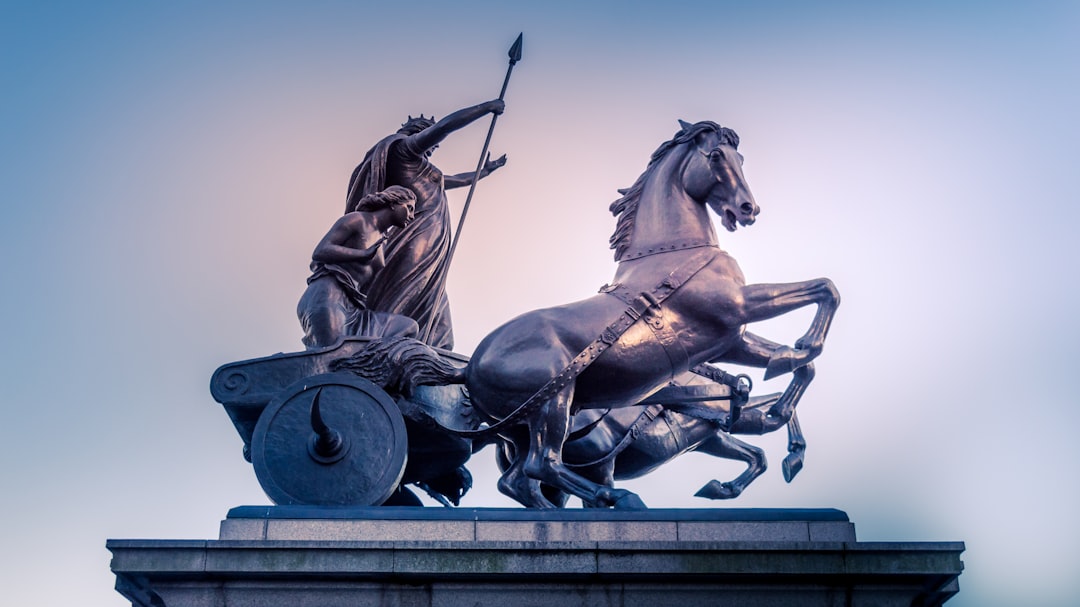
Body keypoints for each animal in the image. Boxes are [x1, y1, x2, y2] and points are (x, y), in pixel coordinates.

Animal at [462, 118, 833, 505]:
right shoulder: (741, 304)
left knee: (521, 479)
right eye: (716, 155)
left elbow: (802, 363)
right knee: (543, 465)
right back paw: (618, 497)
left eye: (741, 158)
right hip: (554, 404)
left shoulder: (731, 340)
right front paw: (800, 351)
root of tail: (468, 370)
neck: (675, 252)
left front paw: (781, 405)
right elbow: (825, 289)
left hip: (522, 428)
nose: (748, 209)